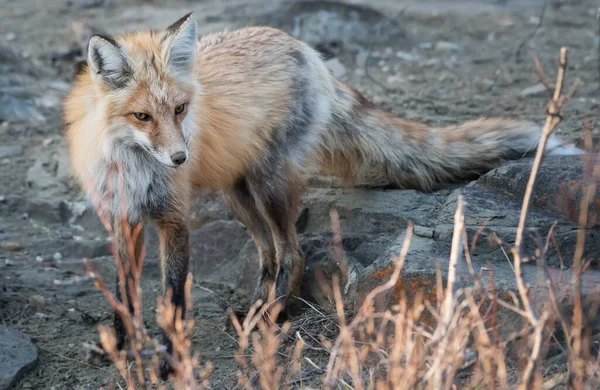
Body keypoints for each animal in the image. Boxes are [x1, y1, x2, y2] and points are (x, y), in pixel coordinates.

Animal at [63, 12, 580, 374]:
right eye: (142, 117)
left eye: (180, 109)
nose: (179, 159)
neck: (131, 168)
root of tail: (307, 51)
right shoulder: (123, 218)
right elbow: (124, 292)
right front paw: (120, 344)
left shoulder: (173, 219)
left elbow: (172, 299)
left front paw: (170, 364)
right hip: (240, 194)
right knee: (270, 255)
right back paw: (254, 313)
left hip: (267, 188)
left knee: (292, 254)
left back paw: (271, 318)